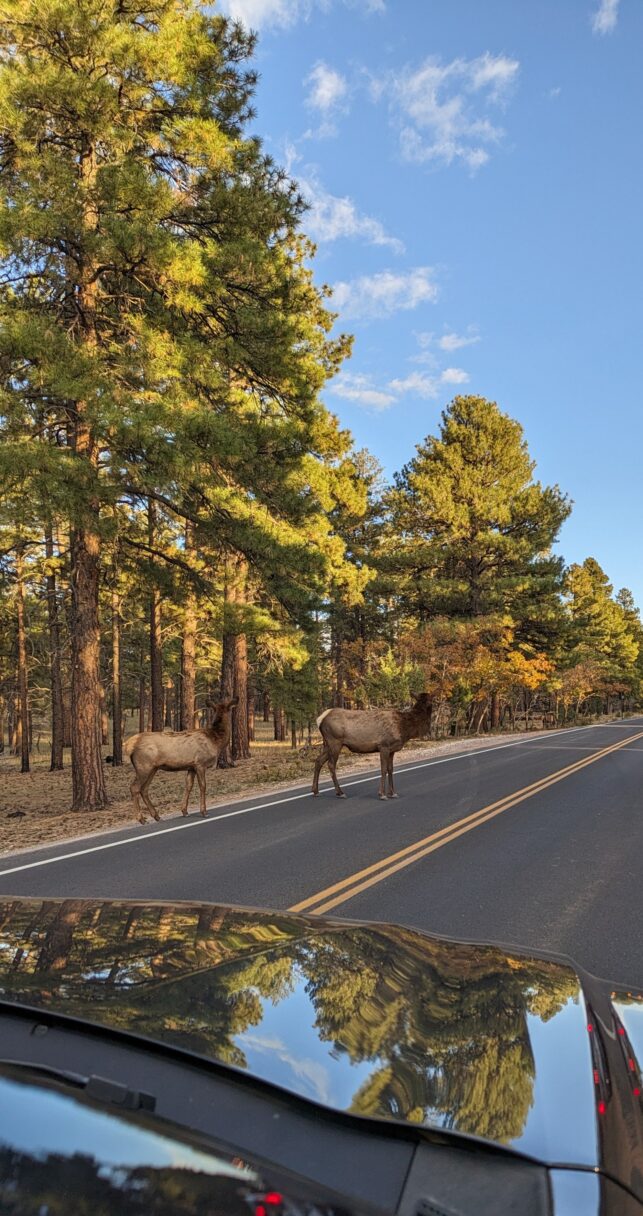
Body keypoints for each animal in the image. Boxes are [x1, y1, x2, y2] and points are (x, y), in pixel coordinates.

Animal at [123, 695, 238, 826]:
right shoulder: (200, 763)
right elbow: (203, 786)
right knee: (134, 787)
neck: (216, 741)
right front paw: (204, 812)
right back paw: (141, 819)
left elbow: (188, 785)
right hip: (144, 766)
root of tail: (129, 745)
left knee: (144, 789)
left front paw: (184, 811)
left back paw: (156, 816)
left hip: (152, 768)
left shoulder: (191, 766)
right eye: (230, 710)